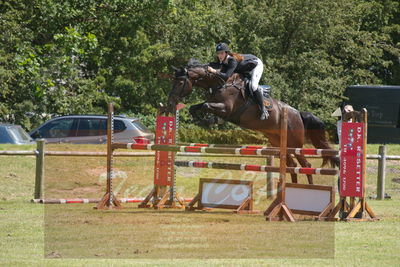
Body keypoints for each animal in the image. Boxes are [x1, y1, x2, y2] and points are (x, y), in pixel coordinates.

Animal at [165, 60, 338, 184]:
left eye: (180, 83)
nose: (170, 102)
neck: (221, 82)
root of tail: (298, 114)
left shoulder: (227, 108)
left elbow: (207, 106)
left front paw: (209, 120)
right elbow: (196, 107)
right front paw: (202, 120)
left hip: (294, 143)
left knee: (306, 166)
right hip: (278, 142)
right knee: (292, 166)